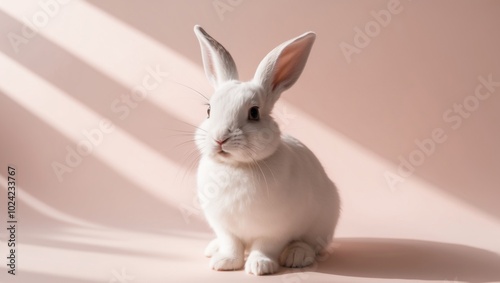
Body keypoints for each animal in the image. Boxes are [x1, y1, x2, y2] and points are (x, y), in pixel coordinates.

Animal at [192, 25, 340, 276]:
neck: (237, 167)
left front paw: (260, 266)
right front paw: (225, 262)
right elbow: (231, 244)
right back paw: (213, 249)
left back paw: (297, 255)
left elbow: (265, 247)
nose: (220, 139)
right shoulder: (224, 226)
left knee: (312, 244)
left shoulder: (275, 229)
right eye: (209, 110)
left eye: (254, 113)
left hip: (322, 222)